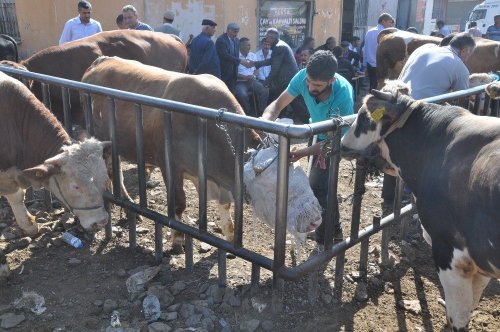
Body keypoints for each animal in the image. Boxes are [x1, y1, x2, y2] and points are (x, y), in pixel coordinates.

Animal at [81, 57, 262, 253]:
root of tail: (101, 60)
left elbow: (225, 204)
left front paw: (229, 237)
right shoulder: (170, 166)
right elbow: (178, 203)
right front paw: (177, 240)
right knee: (113, 173)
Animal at [340, 81, 500, 332]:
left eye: (365, 117)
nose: (342, 143)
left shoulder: (450, 254)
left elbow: (459, 315)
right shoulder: (480, 261)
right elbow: (471, 303)